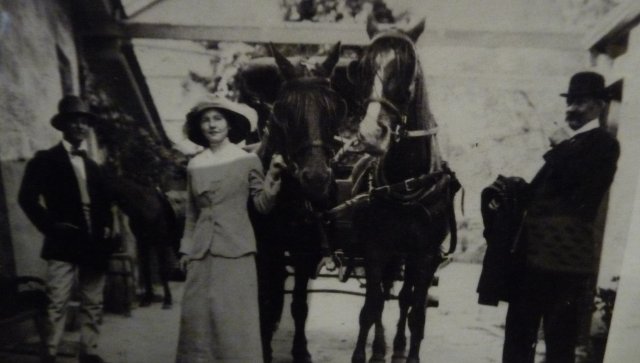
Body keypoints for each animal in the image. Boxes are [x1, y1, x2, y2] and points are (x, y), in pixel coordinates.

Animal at [239, 43, 348, 363]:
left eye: (335, 109)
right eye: (284, 110)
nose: (316, 178)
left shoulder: (305, 253)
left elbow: (299, 305)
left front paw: (301, 351)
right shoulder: (265, 253)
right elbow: (265, 303)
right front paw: (263, 348)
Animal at [344, 15, 460, 362]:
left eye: (407, 67)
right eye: (363, 67)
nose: (371, 134)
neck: (407, 182)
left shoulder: (425, 255)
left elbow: (416, 312)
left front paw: (408, 353)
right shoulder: (376, 248)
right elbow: (371, 307)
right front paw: (364, 354)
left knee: (406, 299)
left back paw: (395, 348)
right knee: (385, 294)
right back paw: (381, 348)